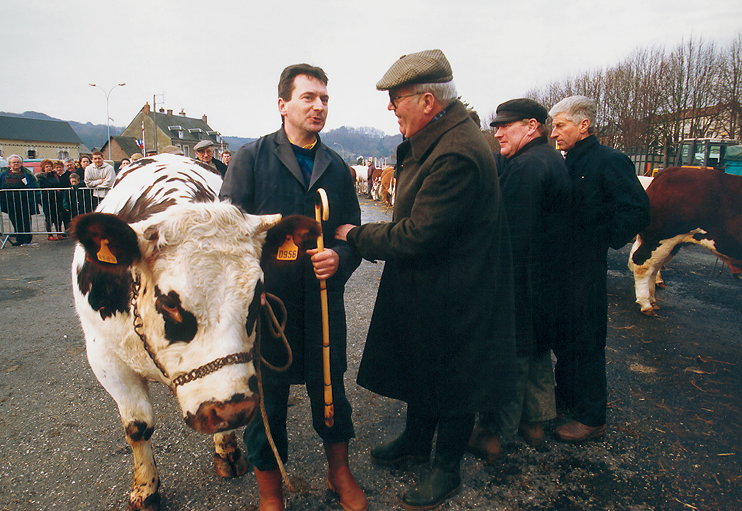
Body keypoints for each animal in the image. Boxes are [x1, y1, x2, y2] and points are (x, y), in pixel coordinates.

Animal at [72, 155, 320, 511]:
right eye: (168, 302)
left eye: (258, 294)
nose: (231, 408)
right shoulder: (105, 358)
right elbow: (138, 427)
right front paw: (146, 490)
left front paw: (226, 449)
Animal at [628, 167, 742, 316]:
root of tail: (672, 170)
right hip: (661, 238)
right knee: (644, 265)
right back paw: (646, 303)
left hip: (670, 243)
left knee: (654, 266)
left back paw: (652, 299)